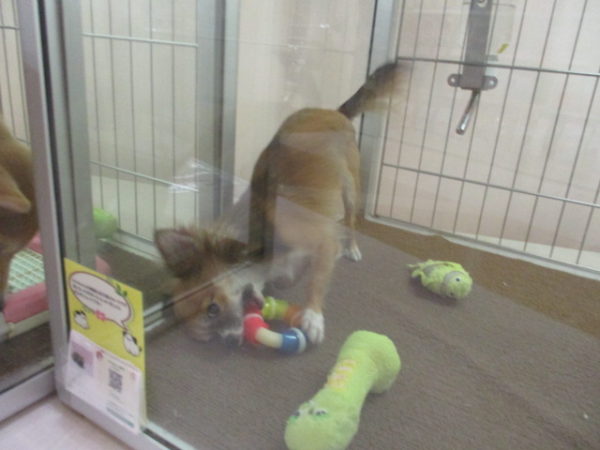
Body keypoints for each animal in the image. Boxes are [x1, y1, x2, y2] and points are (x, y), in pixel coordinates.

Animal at [155, 62, 402, 345]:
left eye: (212, 309)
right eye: (208, 336)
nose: (229, 341)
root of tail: (333, 111)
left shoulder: (319, 239)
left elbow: (316, 278)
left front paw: (313, 316)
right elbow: (285, 277)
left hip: (350, 184)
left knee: (350, 219)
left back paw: (350, 247)